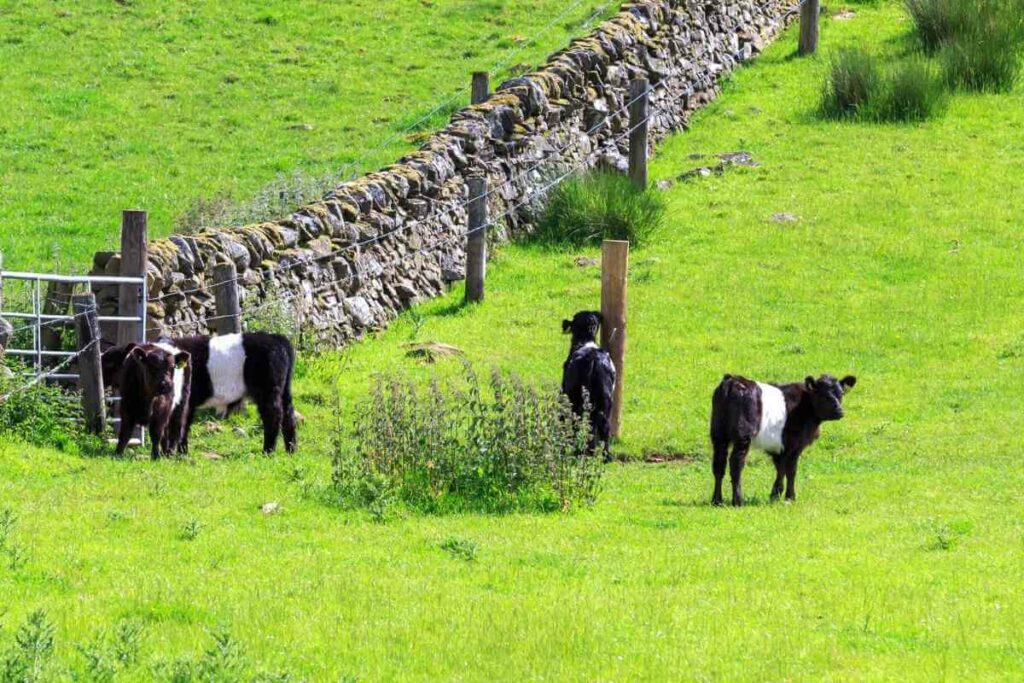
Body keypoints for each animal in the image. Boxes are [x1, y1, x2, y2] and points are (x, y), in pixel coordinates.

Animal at [102, 331, 296, 454]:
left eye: (110, 363)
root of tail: (276, 338)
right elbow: (181, 426)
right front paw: (181, 451)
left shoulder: (184, 401)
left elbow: (179, 426)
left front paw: (176, 452)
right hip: (284, 391)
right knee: (288, 415)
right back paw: (291, 450)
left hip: (268, 392)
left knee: (273, 417)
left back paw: (268, 451)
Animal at [561, 311, 614, 462]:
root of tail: (592, 357)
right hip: (605, 398)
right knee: (603, 424)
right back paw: (605, 455)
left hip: (576, 398)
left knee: (580, 421)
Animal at [708, 374, 851, 507]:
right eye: (824, 395)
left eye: (841, 394)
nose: (840, 411)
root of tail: (732, 381)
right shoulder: (794, 445)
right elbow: (791, 470)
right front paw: (790, 497)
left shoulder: (779, 448)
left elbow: (780, 469)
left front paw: (775, 495)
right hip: (742, 435)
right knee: (736, 464)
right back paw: (738, 501)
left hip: (718, 434)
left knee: (719, 464)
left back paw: (717, 500)